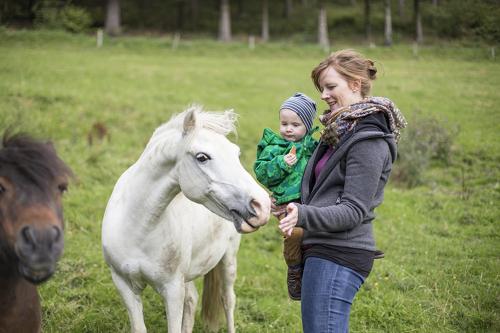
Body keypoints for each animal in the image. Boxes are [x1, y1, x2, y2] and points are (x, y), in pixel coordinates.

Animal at [102, 106, 272, 332]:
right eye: (202, 157)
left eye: (236, 154)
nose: (263, 205)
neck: (137, 227)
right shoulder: (123, 283)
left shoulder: (172, 290)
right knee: (193, 299)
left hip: (228, 258)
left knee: (228, 300)